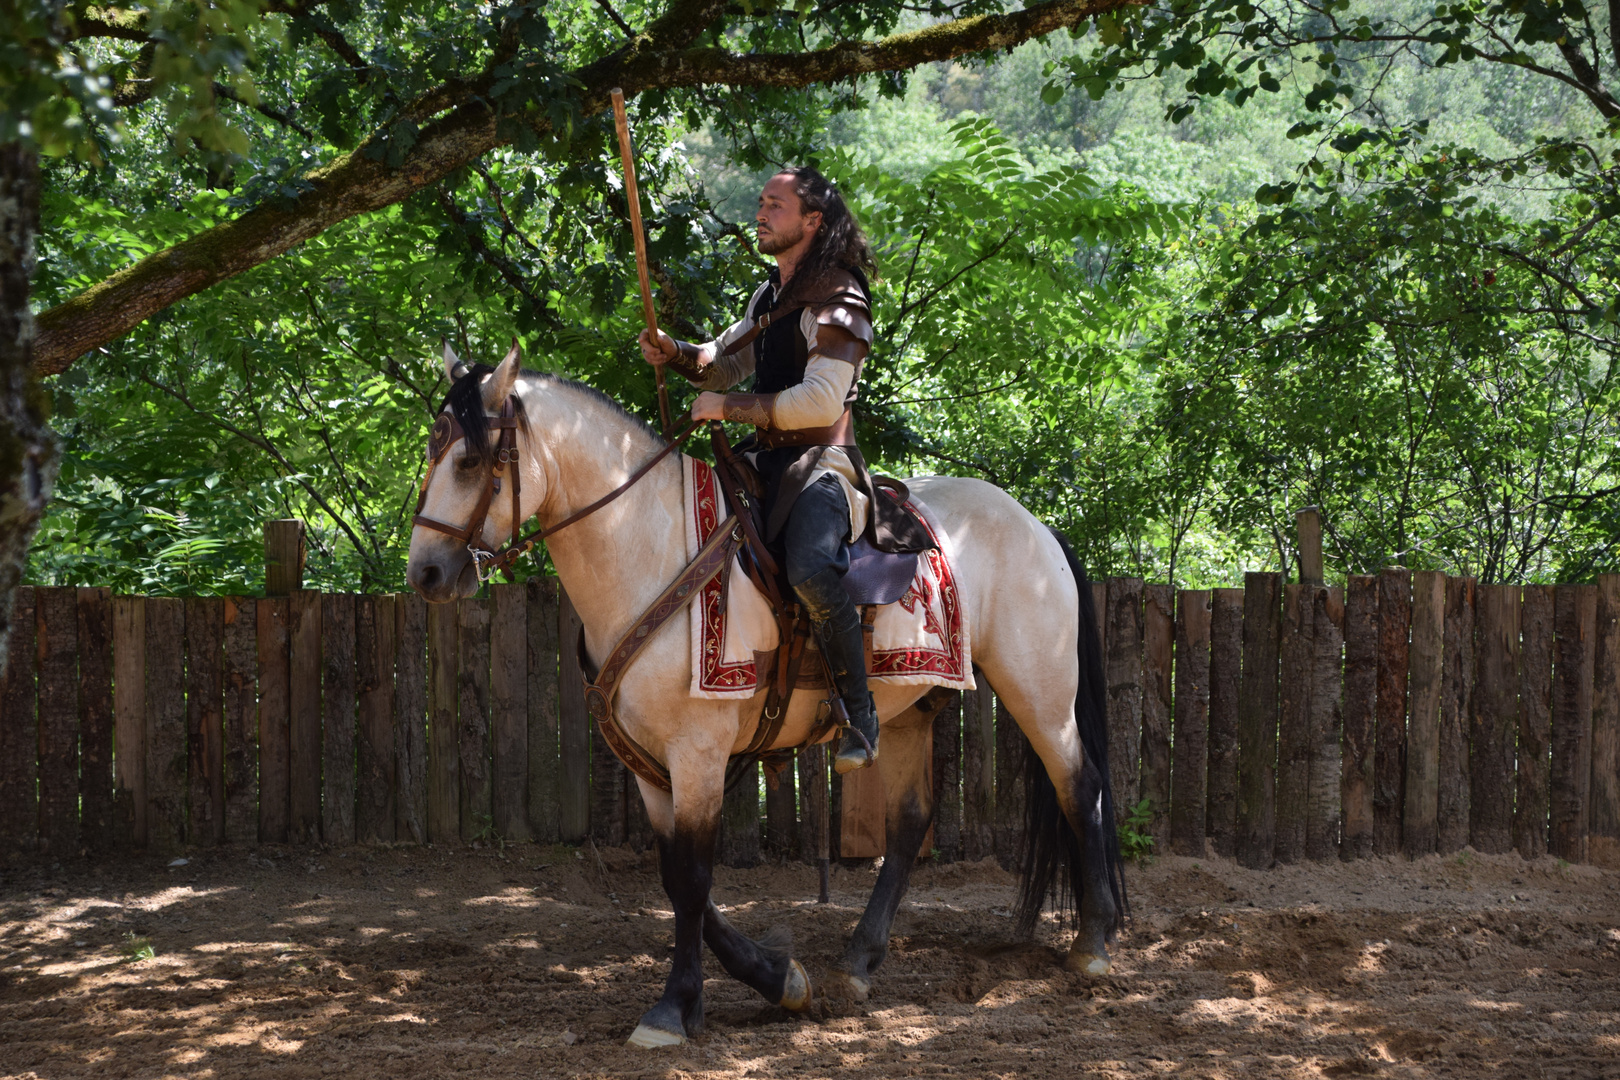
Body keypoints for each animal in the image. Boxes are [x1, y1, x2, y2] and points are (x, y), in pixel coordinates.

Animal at [405, 340, 1127, 1049]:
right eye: (433, 452)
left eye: (469, 459)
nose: (426, 574)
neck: (651, 548)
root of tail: (1037, 526)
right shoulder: (649, 765)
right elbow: (675, 879)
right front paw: (779, 980)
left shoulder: (698, 753)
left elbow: (693, 879)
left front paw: (675, 1008)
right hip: (907, 715)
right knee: (908, 823)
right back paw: (857, 964)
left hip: (1040, 695)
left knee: (1081, 786)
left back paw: (1093, 945)